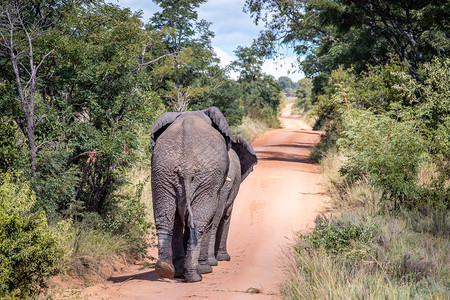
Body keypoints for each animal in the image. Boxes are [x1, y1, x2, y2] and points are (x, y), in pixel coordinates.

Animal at [151, 108, 232, 284]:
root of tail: (186, 165)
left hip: (162, 172)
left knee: (165, 219)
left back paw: (166, 270)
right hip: (207, 176)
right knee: (200, 222)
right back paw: (195, 276)